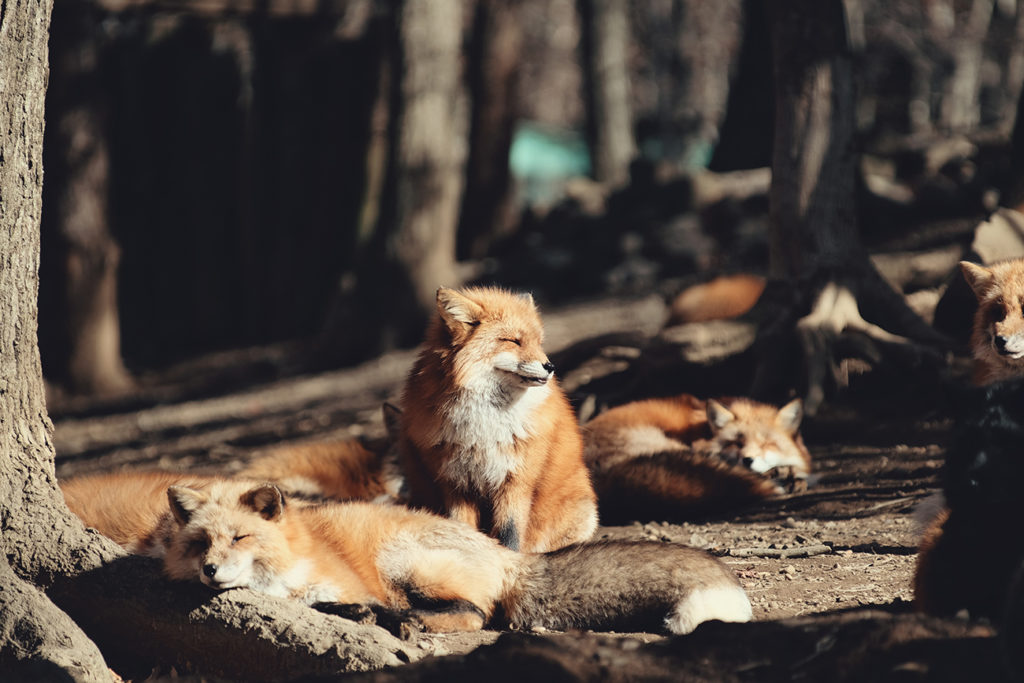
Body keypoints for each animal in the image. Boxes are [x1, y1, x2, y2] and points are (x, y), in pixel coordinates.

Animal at [161, 479, 753, 636]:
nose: (210, 570)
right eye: (199, 545)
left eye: (239, 538)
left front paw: (362, 614)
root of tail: (509, 556)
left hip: (403, 562)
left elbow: (340, 602)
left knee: (474, 615)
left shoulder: (349, 582)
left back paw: (408, 623)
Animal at [397, 286, 597, 553]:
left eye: (538, 342)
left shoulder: (516, 478)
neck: (483, 428)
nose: (550, 366)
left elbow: (509, 533)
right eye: (513, 341)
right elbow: (462, 529)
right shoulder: (455, 483)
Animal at [582, 394, 810, 522]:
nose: (747, 459)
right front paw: (786, 476)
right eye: (736, 443)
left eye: (766, 444)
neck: (703, 430)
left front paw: (796, 478)